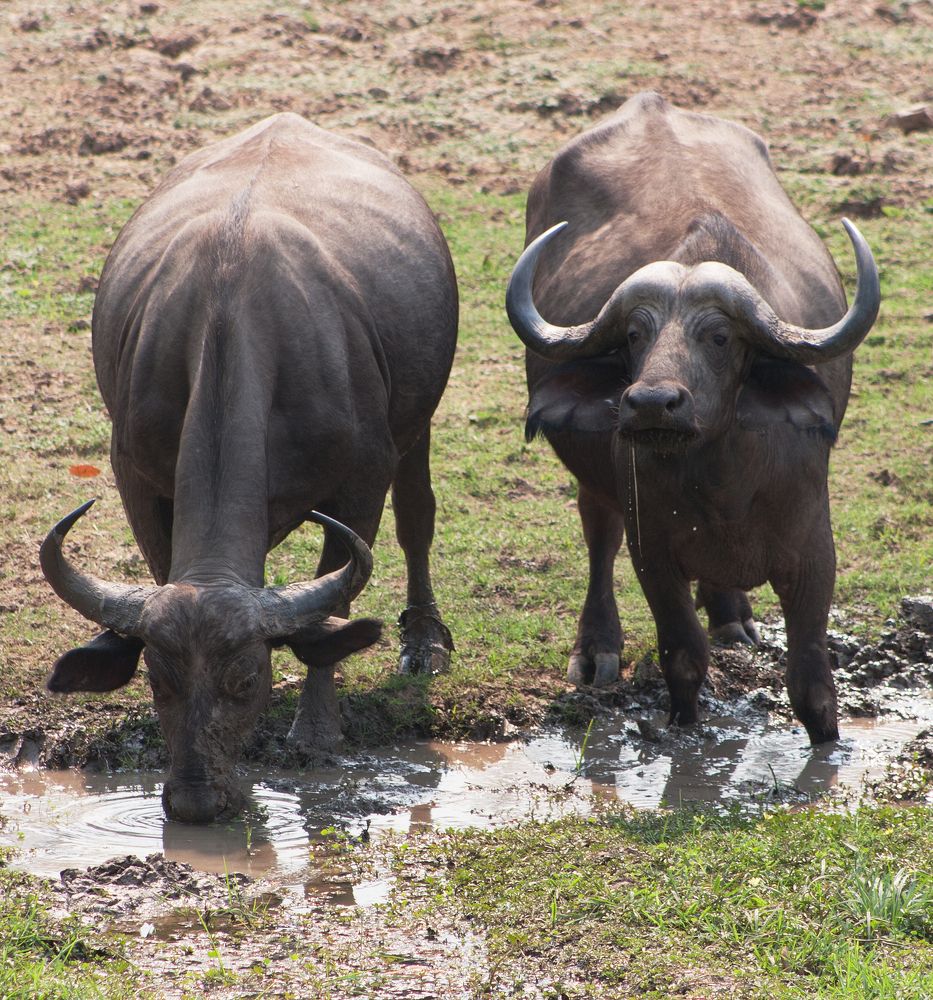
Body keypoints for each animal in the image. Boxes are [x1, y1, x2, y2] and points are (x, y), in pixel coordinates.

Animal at [41, 113, 458, 821]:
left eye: (246, 678)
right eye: (159, 679)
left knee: (418, 518)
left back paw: (424, 638)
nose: (196, 802)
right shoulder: (136, 478)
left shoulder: (361, 482)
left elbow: (335, 600)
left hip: (417, 425)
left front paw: (315, 732)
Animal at [506, 92, 879, 743]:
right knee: (598, 532)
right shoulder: (653, 549)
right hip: (601, 492)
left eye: (720, 337)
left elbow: (811, 682)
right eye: (635, 335)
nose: (652, 402)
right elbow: (682, 656)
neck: (725, 482)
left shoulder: (814, 550)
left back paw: (732, 615)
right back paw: (597, 648)